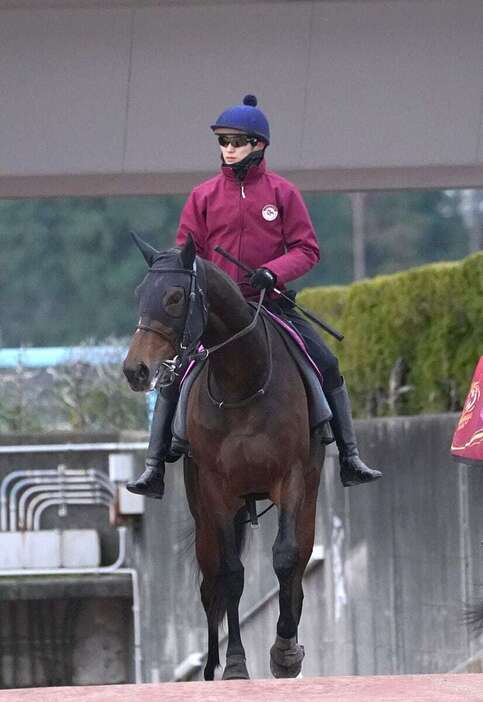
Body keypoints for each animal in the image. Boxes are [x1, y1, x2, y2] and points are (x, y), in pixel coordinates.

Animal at [123, 236, 328, 680]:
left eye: (174, 296)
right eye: (139, 294)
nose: (135, 369)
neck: (243, 383)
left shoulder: (292, 478)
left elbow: (286, 558)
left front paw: (284, 651)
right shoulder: (216, 490)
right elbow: (231, 574)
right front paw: (234, 663)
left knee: (298, 563)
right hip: (207, 515)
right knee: (210, 582)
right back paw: (210, 665)